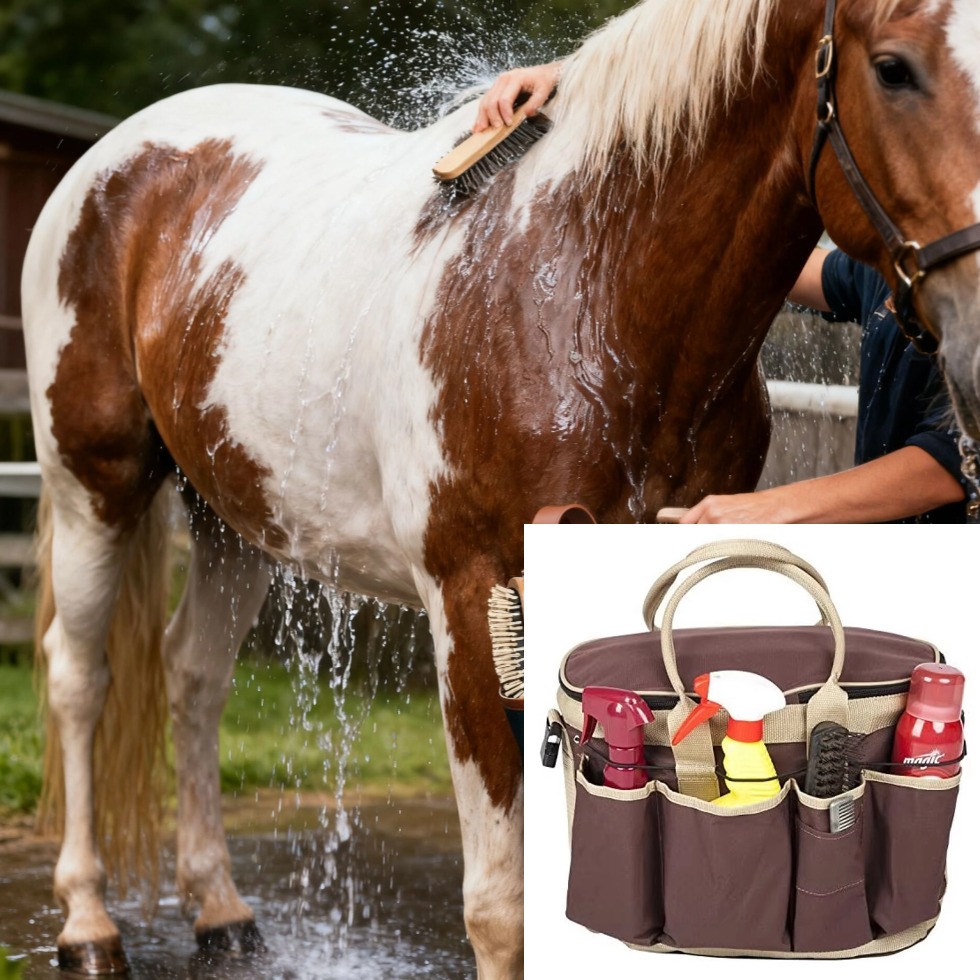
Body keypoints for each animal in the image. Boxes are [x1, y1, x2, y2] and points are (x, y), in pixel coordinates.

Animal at [21, 0, 980, 976]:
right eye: (893, 68)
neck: (585, 287)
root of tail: (117, 158)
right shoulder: (474, 601)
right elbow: (499, 909)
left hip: (232, 516)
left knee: (195, 673)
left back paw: (219, 909)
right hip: (93, 486)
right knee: (79, 677)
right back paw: (88, 922)